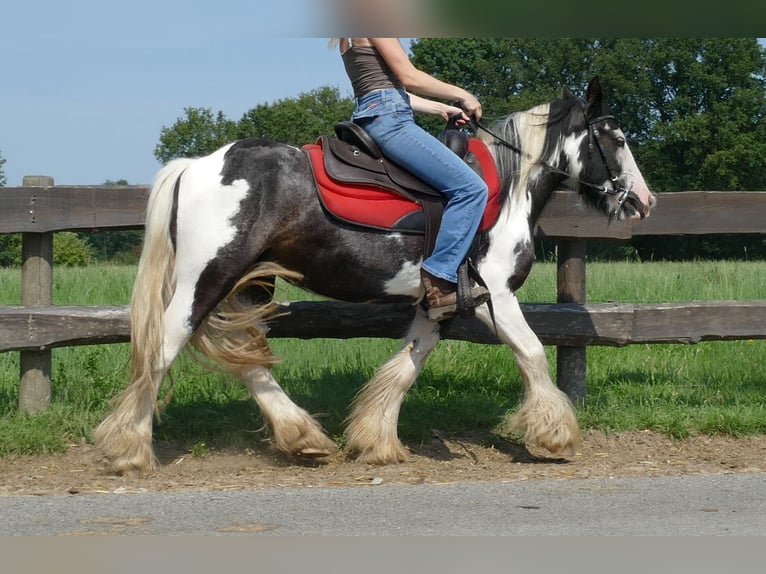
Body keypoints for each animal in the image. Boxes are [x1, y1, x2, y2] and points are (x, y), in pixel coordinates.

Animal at [96, 76, 656, 476]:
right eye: (618, 138)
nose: (644, 201)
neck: (506, 189)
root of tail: (196, 166)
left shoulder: (440, 302)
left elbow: (407, 364)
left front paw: (375, 440)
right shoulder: (495, 294)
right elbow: (533, 352)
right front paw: (553, 435)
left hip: (248, 286)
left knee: (247, 358)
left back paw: (303, 437)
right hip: (206, 279)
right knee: (163, 348)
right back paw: (129, 448)